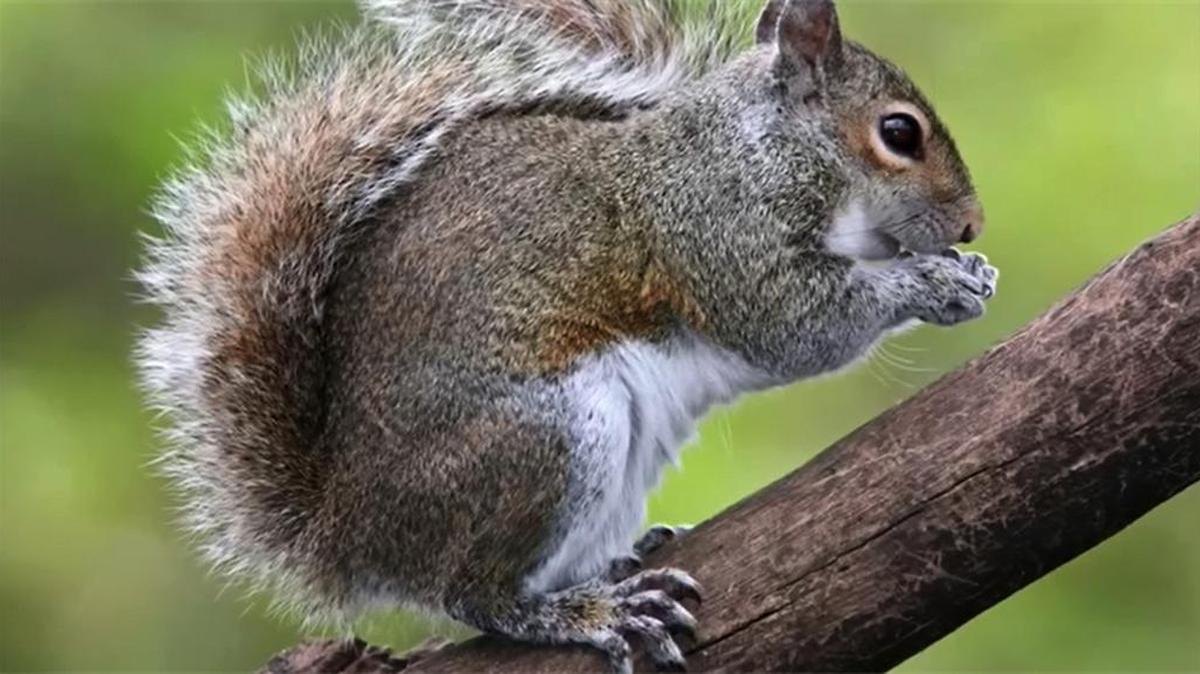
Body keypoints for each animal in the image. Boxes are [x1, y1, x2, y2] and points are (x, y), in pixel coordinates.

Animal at [136, 0, 997, 671]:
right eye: (899, 133)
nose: (970, 225)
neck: (765, 147)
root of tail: (346, 531)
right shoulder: (719, 234)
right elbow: (796, 324)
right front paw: (938, 284)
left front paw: (969, 271)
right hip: (549, 436)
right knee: (473, 594)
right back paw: (588, 612)